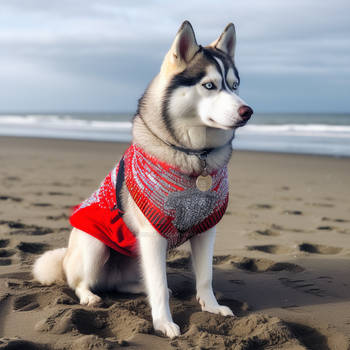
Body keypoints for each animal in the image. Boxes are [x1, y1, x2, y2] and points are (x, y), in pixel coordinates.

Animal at [33, 20, 252, 338]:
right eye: (209, 85)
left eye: (234, 86)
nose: (248, 111)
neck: (194, 155)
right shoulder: (152, 236)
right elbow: (158, 286)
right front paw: (163, 323)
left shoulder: (206, 229)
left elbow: (205, 276)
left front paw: (211, 306)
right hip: (94, 246)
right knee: (80, 282)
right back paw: (89, 296)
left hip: (133, 259)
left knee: (124, 283)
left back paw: (136, 288)